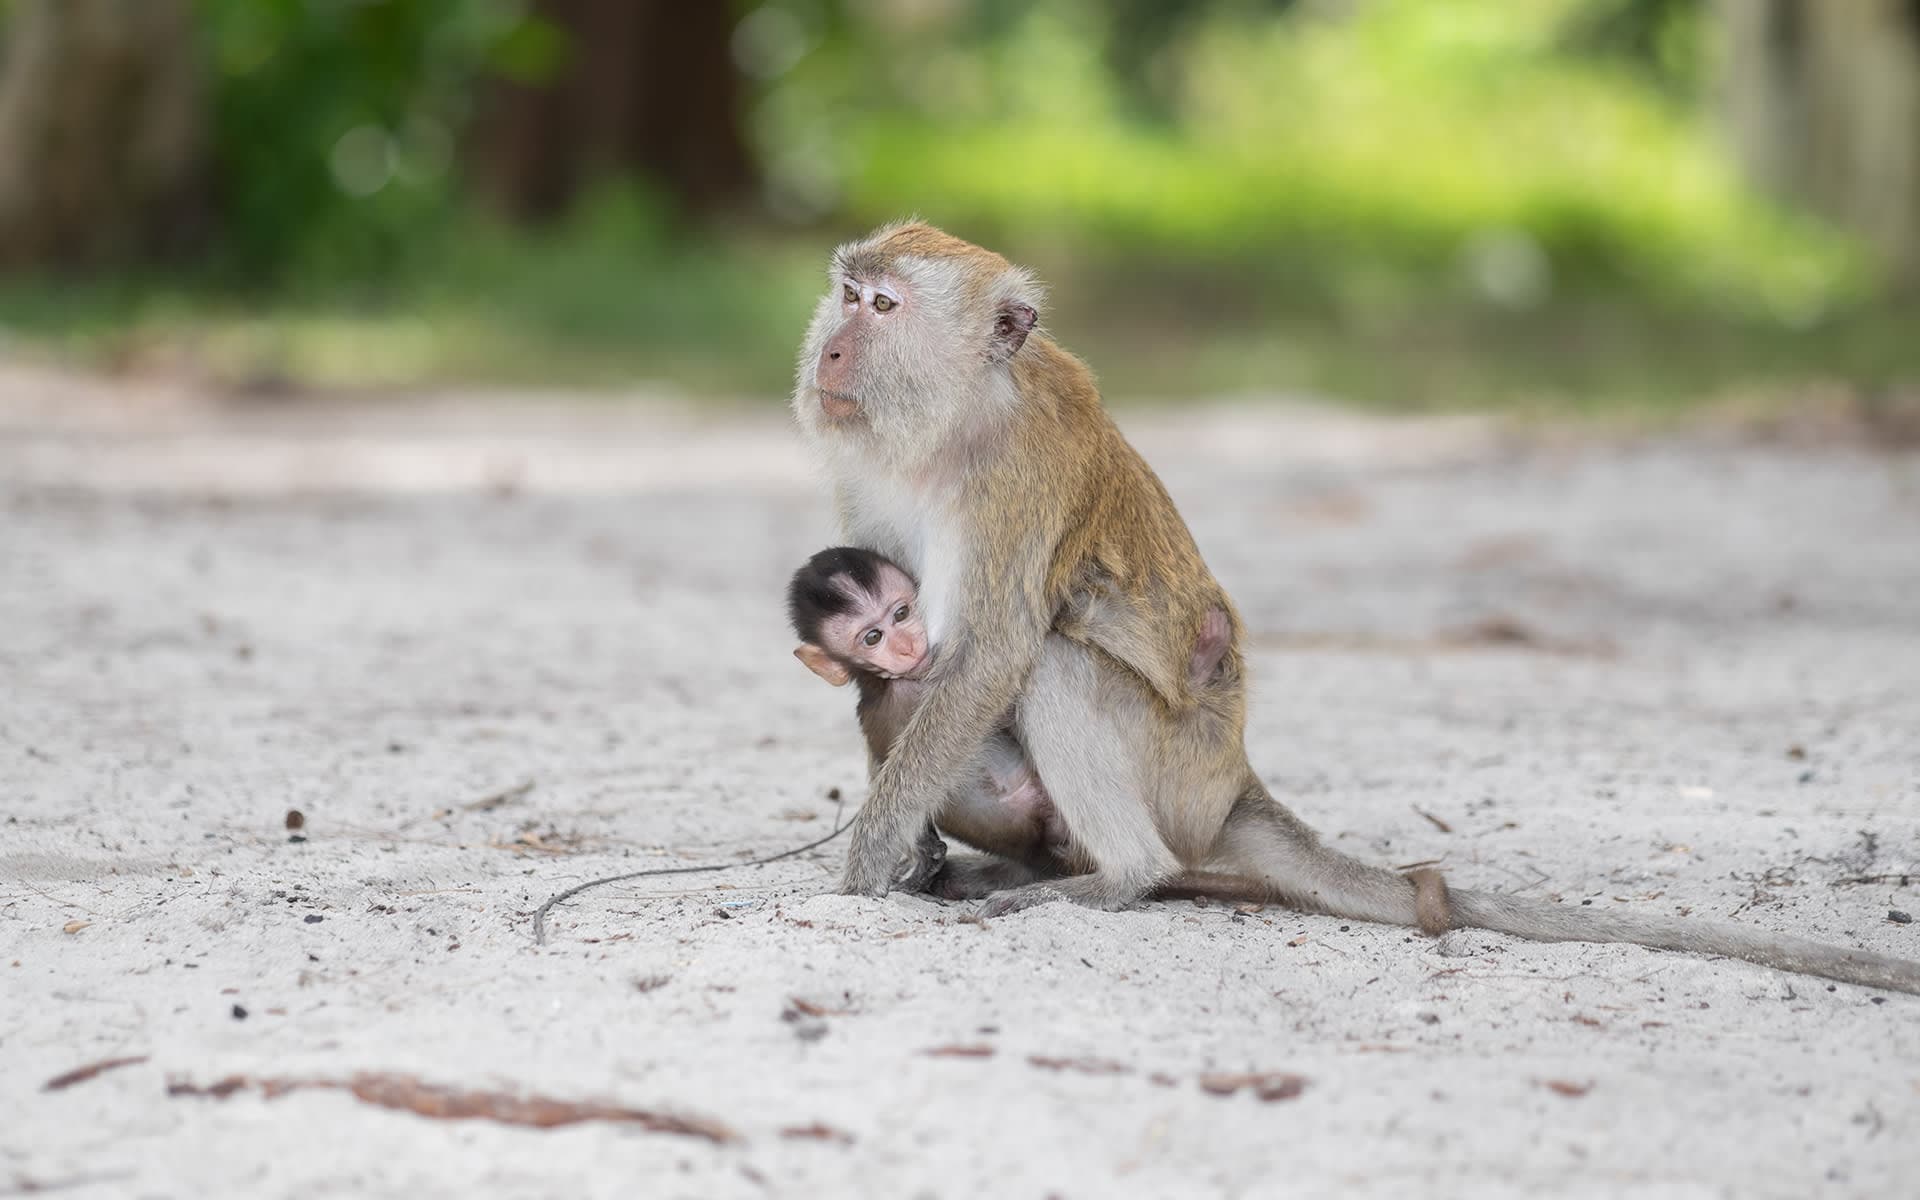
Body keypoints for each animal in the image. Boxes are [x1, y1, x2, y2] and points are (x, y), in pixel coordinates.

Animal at [789, 220, 1920, 995]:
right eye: (845, 294)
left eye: (883, 310)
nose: (831, 351)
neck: (955, 423)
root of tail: (1233, 782)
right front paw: (907, 849)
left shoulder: (1012, 481)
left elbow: (990, 657)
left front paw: (867, 861)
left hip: (1175, 775)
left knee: (1058, 666)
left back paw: (1117, 879)